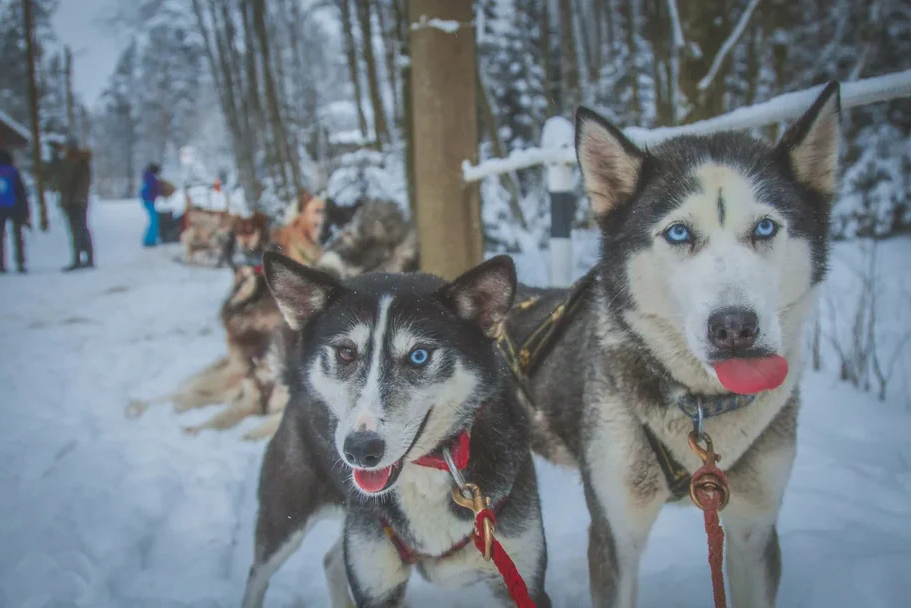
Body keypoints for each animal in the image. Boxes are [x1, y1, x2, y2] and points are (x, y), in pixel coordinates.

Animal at [242, 253, 552, 608]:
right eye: (346, 352)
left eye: (418, 356)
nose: (360, 450)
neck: (427, 470)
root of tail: (294, 384)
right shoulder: (377, 585)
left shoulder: (523, 580)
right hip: (285, 519)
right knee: (258, 574)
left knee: (330, 560)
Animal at [506, 82, 840, 608]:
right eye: (679, 232)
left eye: (765, 227)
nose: (735, 327)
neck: (701, 407)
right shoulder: (615, 536)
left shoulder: (755, 531)